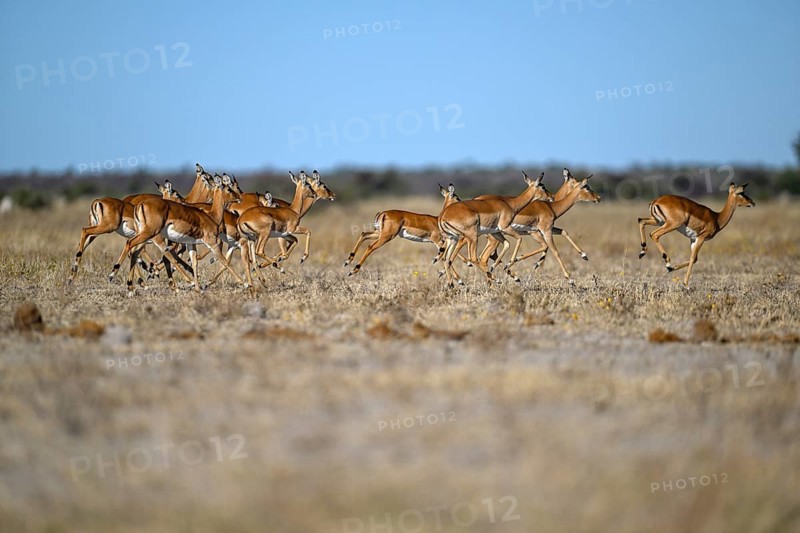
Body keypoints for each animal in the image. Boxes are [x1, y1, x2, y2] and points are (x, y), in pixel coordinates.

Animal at [110, 177, 245, 294]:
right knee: (130, 244)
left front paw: (198, 288)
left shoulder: (191, 244)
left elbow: (194, 263)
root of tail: (139, 205)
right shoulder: (211, 242)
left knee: (134, 253)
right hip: (149, 234)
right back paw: (113, 275)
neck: (211, 216)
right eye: (229, 188)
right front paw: (244, 283)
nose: (239, 197)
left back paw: (131, 287)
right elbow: (225, 262)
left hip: (145, 236)